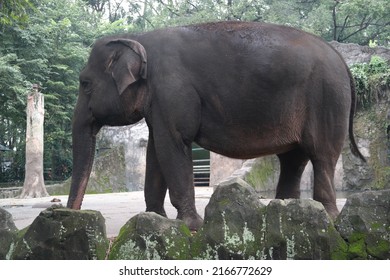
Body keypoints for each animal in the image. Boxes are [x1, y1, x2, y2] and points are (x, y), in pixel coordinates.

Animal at [66, 21, 366, 231]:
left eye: (85, 84)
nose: (72, 214)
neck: (138, 38)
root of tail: (342, 61)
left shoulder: (173, 91)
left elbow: (173, 144)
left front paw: (191, 225)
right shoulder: (160, 100)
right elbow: (156, 150)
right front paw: (154, 219)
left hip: (327, 99)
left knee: (321, 156)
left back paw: (327, 218)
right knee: (294, 158)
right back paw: (284, 211)